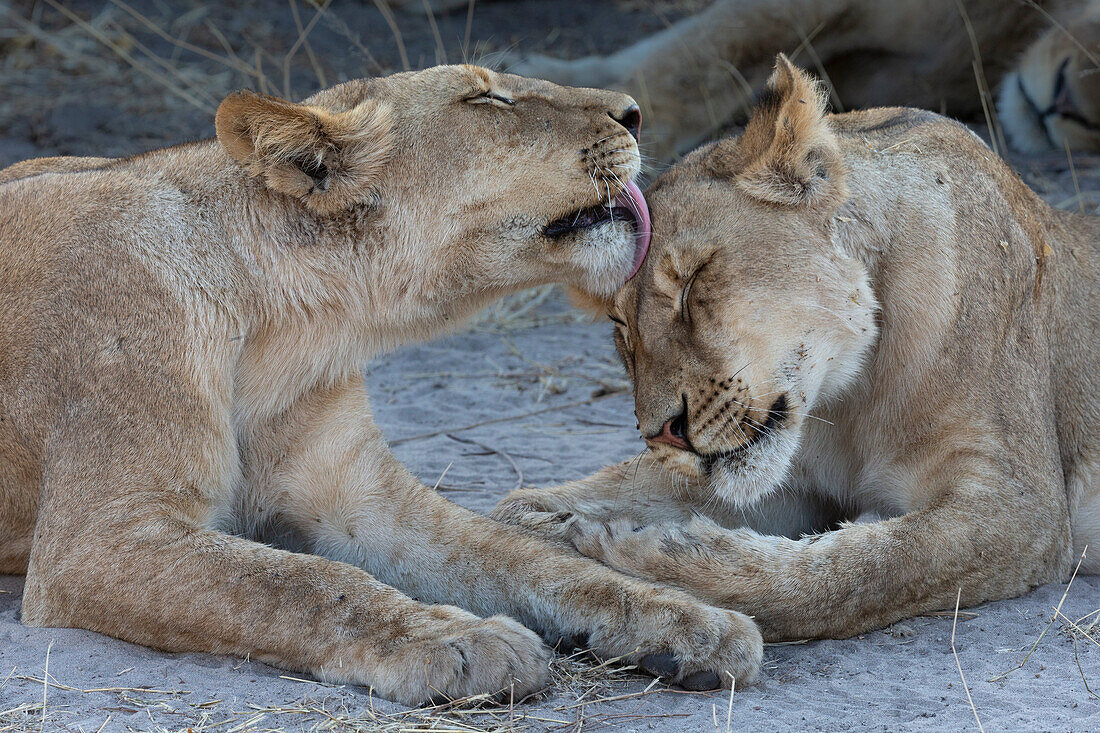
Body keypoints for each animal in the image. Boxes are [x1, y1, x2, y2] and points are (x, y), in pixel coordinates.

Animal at [495, 55, 1095, 638]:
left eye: (694, 281)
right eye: (621, 326)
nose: (662, 433)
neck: (853, 395)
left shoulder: (1022, 507)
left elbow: (857, 571)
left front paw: (654, 551)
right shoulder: (793, 478)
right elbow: (563, 499)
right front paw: (539, 519)